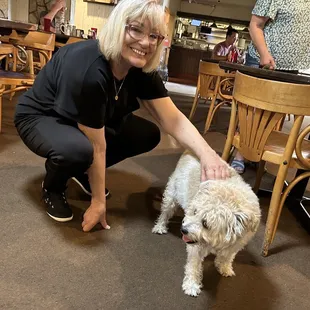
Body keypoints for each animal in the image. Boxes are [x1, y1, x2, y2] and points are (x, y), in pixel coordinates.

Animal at [153, 151, 262, 296]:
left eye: (205, 223)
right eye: (194, 211)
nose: (183, 229)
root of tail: (189, 152)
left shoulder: (236, 245)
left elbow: (227, 257)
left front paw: (224, 267)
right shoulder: (196, 249)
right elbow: (193, 266)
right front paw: (191, 285)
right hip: (171, 197)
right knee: (164, 214)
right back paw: (160, 226)